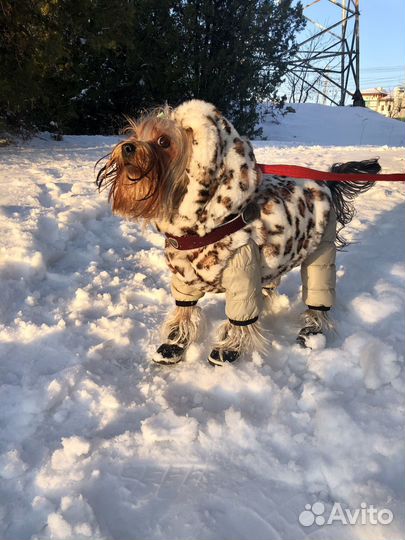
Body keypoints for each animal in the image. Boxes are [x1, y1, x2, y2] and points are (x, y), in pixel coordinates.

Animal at [96, 99, 374, 364]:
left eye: (164, 141)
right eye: (134, 133)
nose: (128, 147)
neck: (195, 228)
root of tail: (326, 181)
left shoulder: (242, 270)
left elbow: (241, 317)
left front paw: (227, 349)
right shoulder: (183, 274)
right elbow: (184, 310)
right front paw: (174, 344)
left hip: (321, 250)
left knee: (318, 292)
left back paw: (312, 331)